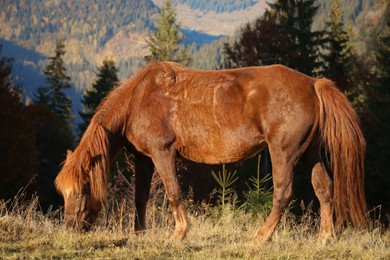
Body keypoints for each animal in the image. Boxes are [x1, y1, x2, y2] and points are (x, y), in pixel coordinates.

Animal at [54, 62, 368, 243]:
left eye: (82, 189)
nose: (70, 228)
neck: (140, 97)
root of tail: (314, 84)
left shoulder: (162, 153)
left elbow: (173, 192)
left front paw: (179, 232)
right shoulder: (143, 158)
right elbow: (140, 196)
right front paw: (139, 233)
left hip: (285, 153)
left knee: (283, 193)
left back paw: (260, 237)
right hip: (309, 154)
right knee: (324, 187)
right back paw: (325, 238)